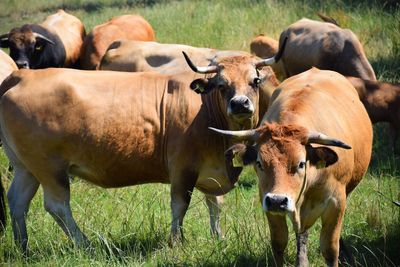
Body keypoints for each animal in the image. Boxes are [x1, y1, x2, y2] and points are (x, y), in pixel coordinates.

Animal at [208, 68, 374, 266]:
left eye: (301, 163)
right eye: (259, 163)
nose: (277, 200)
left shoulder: (336, 203)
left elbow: (330, 249)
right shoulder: (268, 202)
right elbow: (279, 243)